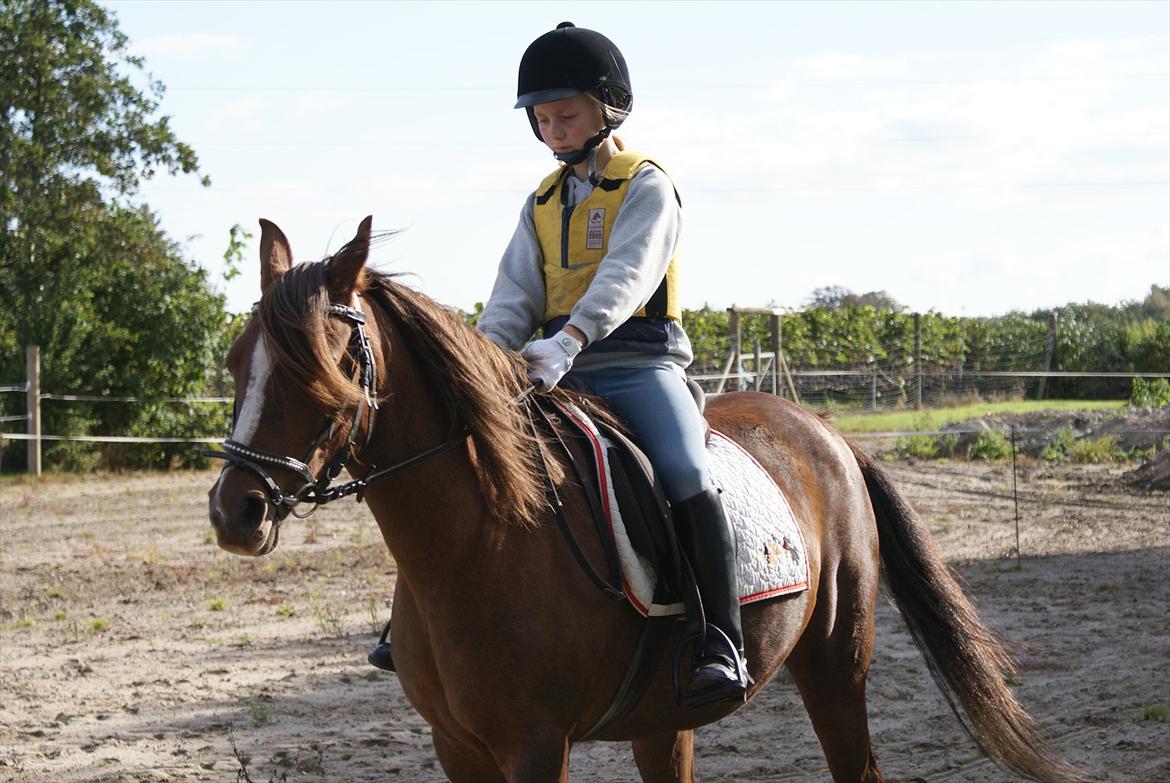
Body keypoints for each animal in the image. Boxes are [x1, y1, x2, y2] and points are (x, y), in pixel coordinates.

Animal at [208, 218, 1076, 781]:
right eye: (237, 358)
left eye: (321, 364)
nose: (233, 510)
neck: (475, 547)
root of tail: (825, 431)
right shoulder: (459, 748)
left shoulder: (534, 743)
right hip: (670, 717)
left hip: (835, 665)